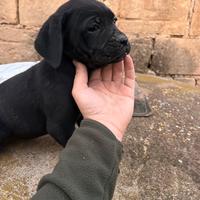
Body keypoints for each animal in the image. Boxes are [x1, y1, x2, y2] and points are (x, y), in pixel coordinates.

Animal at [0, 0, 130, 147]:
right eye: (93, 27)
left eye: (114, 21)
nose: (124, 40)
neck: (69, 68)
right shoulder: (59, 125)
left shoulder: (82, 115)